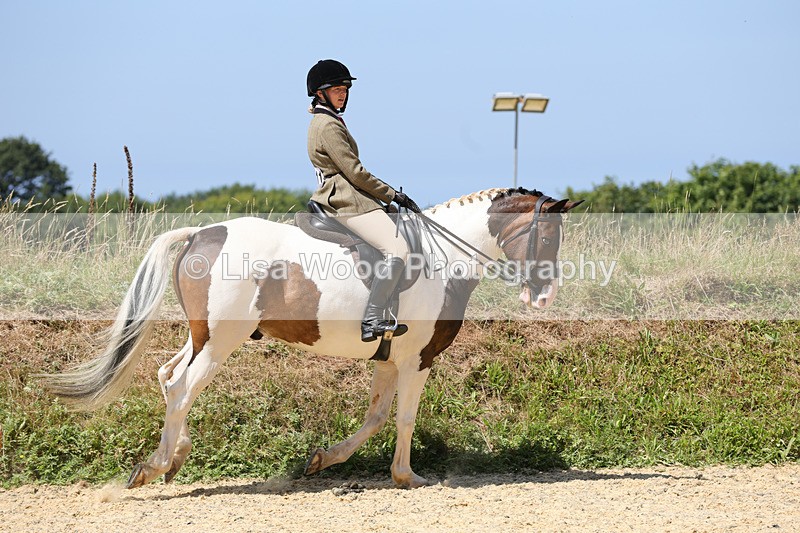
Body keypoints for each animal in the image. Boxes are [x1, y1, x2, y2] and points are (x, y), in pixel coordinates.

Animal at [42, 187, 582, 489]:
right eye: (547, 236)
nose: (544, 297)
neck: (443, 257)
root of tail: (202, 233)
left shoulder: (389, 358)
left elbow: (376, 416)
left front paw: (324, 460)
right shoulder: (416, 359)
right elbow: (404, 418)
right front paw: (408, 476)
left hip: (202, 336)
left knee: (167, 376)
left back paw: (174, 458)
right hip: (220, 342)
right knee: (181, 387)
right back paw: (155, 466)